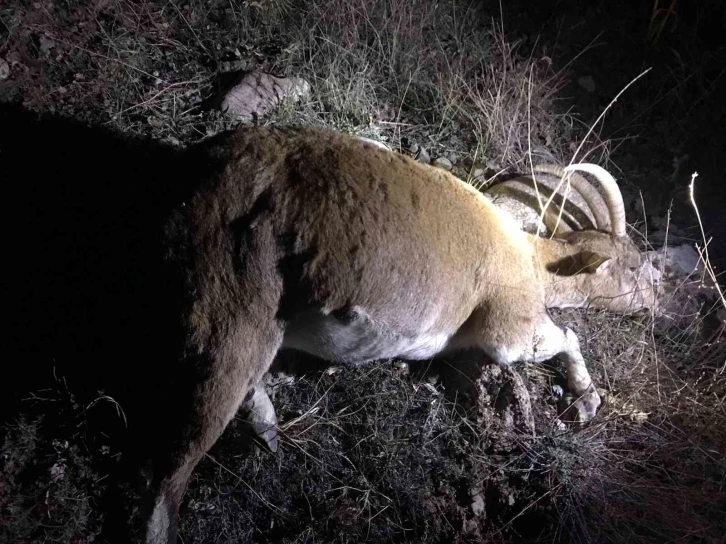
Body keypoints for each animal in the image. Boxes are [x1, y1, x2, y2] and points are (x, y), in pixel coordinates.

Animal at [145, 124, 656, 544]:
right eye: (630, 265)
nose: (658, 297)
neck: (532, 260)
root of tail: (197, 180)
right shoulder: (509, 326)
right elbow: (561, 335)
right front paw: (586, 399)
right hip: (233, 308)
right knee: (171, 474)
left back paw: (268, 426)